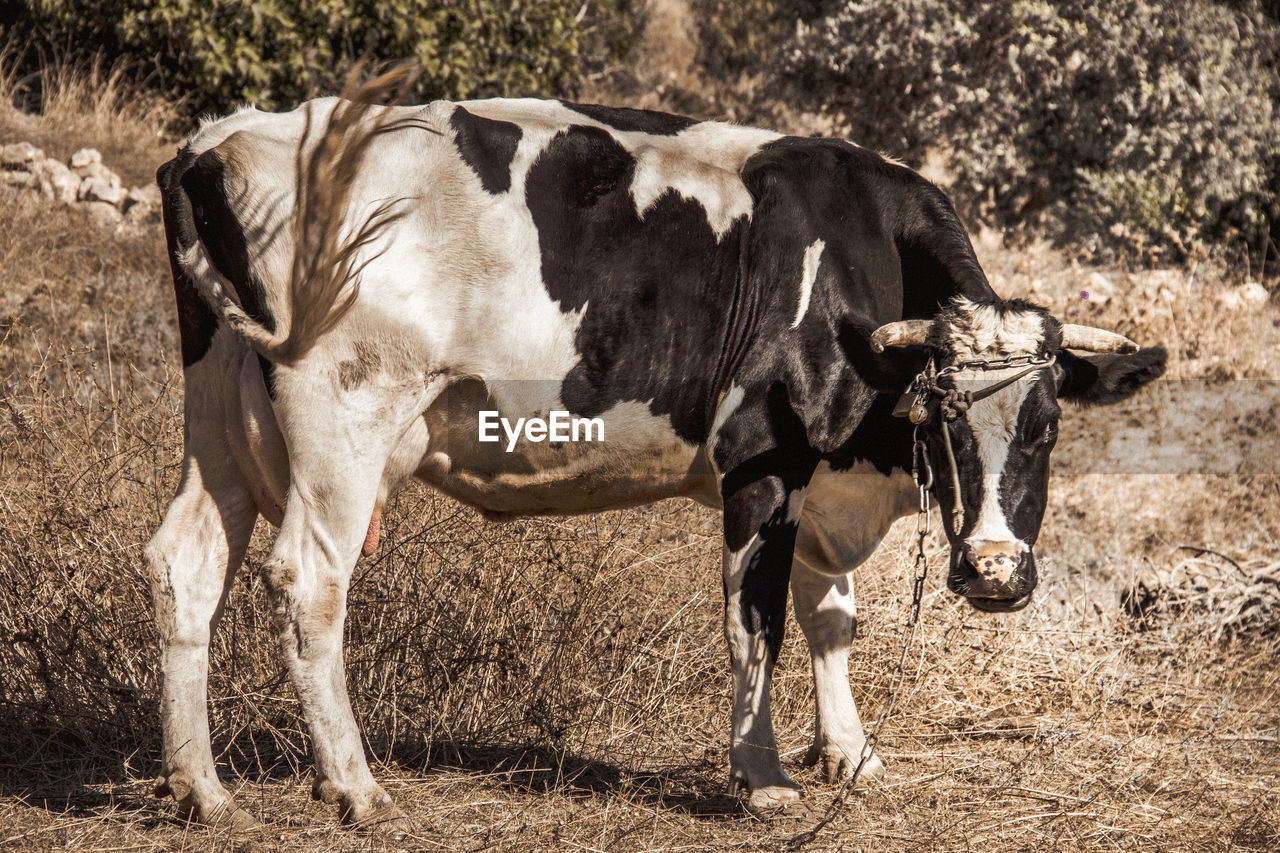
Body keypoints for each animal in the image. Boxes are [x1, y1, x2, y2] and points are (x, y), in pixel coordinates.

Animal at [145, 91, 1167, 824]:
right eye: (946, 424)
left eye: (1044, 427)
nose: (994, 573)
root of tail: (228, 134)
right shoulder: (762, 459)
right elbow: (758, 620)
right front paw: (763, 776)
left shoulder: (823, 478)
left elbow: (831, 615)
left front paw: (850, 751)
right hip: (345, 415)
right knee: (310, 580)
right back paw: (353, 786)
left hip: (218, 413)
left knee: (185, 562)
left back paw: (203, 789)